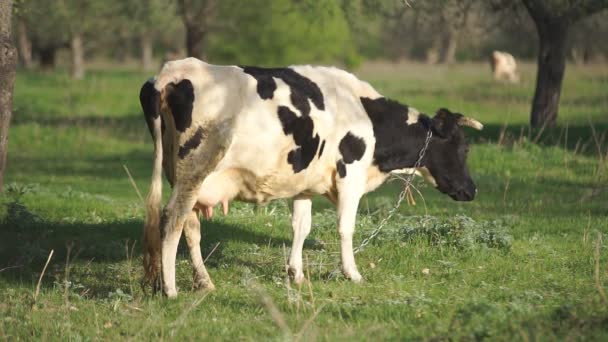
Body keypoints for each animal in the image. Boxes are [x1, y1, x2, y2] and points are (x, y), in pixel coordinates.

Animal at [140, 57, 482, 298]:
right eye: (464, 147)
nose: (472, 190)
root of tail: (170, 72)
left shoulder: (303, 185)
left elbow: (301, 227)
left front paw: (297, 274)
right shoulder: (350, 176)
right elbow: (346, 228)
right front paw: (352, 273)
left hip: (183, 177)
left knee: (189, 227)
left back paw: (204, 282)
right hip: (196, 169)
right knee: (172, 220)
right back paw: (171, 289)